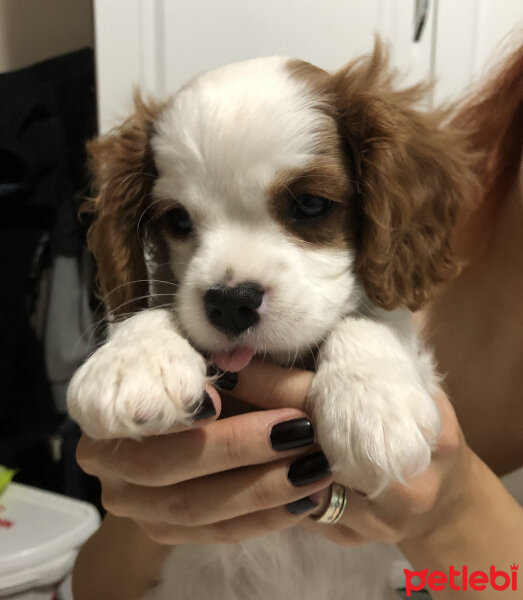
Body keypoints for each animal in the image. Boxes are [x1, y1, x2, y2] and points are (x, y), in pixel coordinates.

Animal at [67, 43, 476, 600]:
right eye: (178, 220)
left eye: (310, 204)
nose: (230, 302)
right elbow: (156, 306)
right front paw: (131, 363)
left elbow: (371, 317)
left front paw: (373, 403)